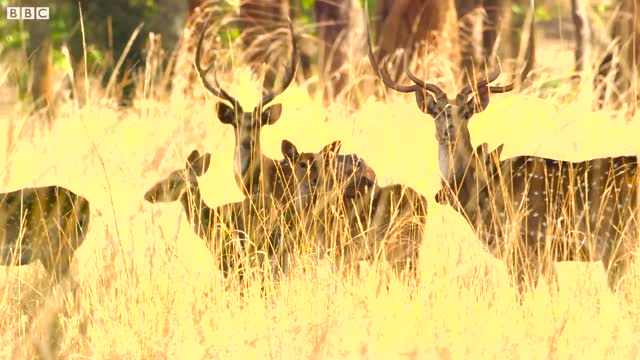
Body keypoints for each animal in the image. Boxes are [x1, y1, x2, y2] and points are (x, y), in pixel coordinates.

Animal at [282, 139, 428, 278]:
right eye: (302, 164)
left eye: (324, 164)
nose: (316, 180)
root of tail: (423, 202)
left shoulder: (339, 249)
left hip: (398, 245)